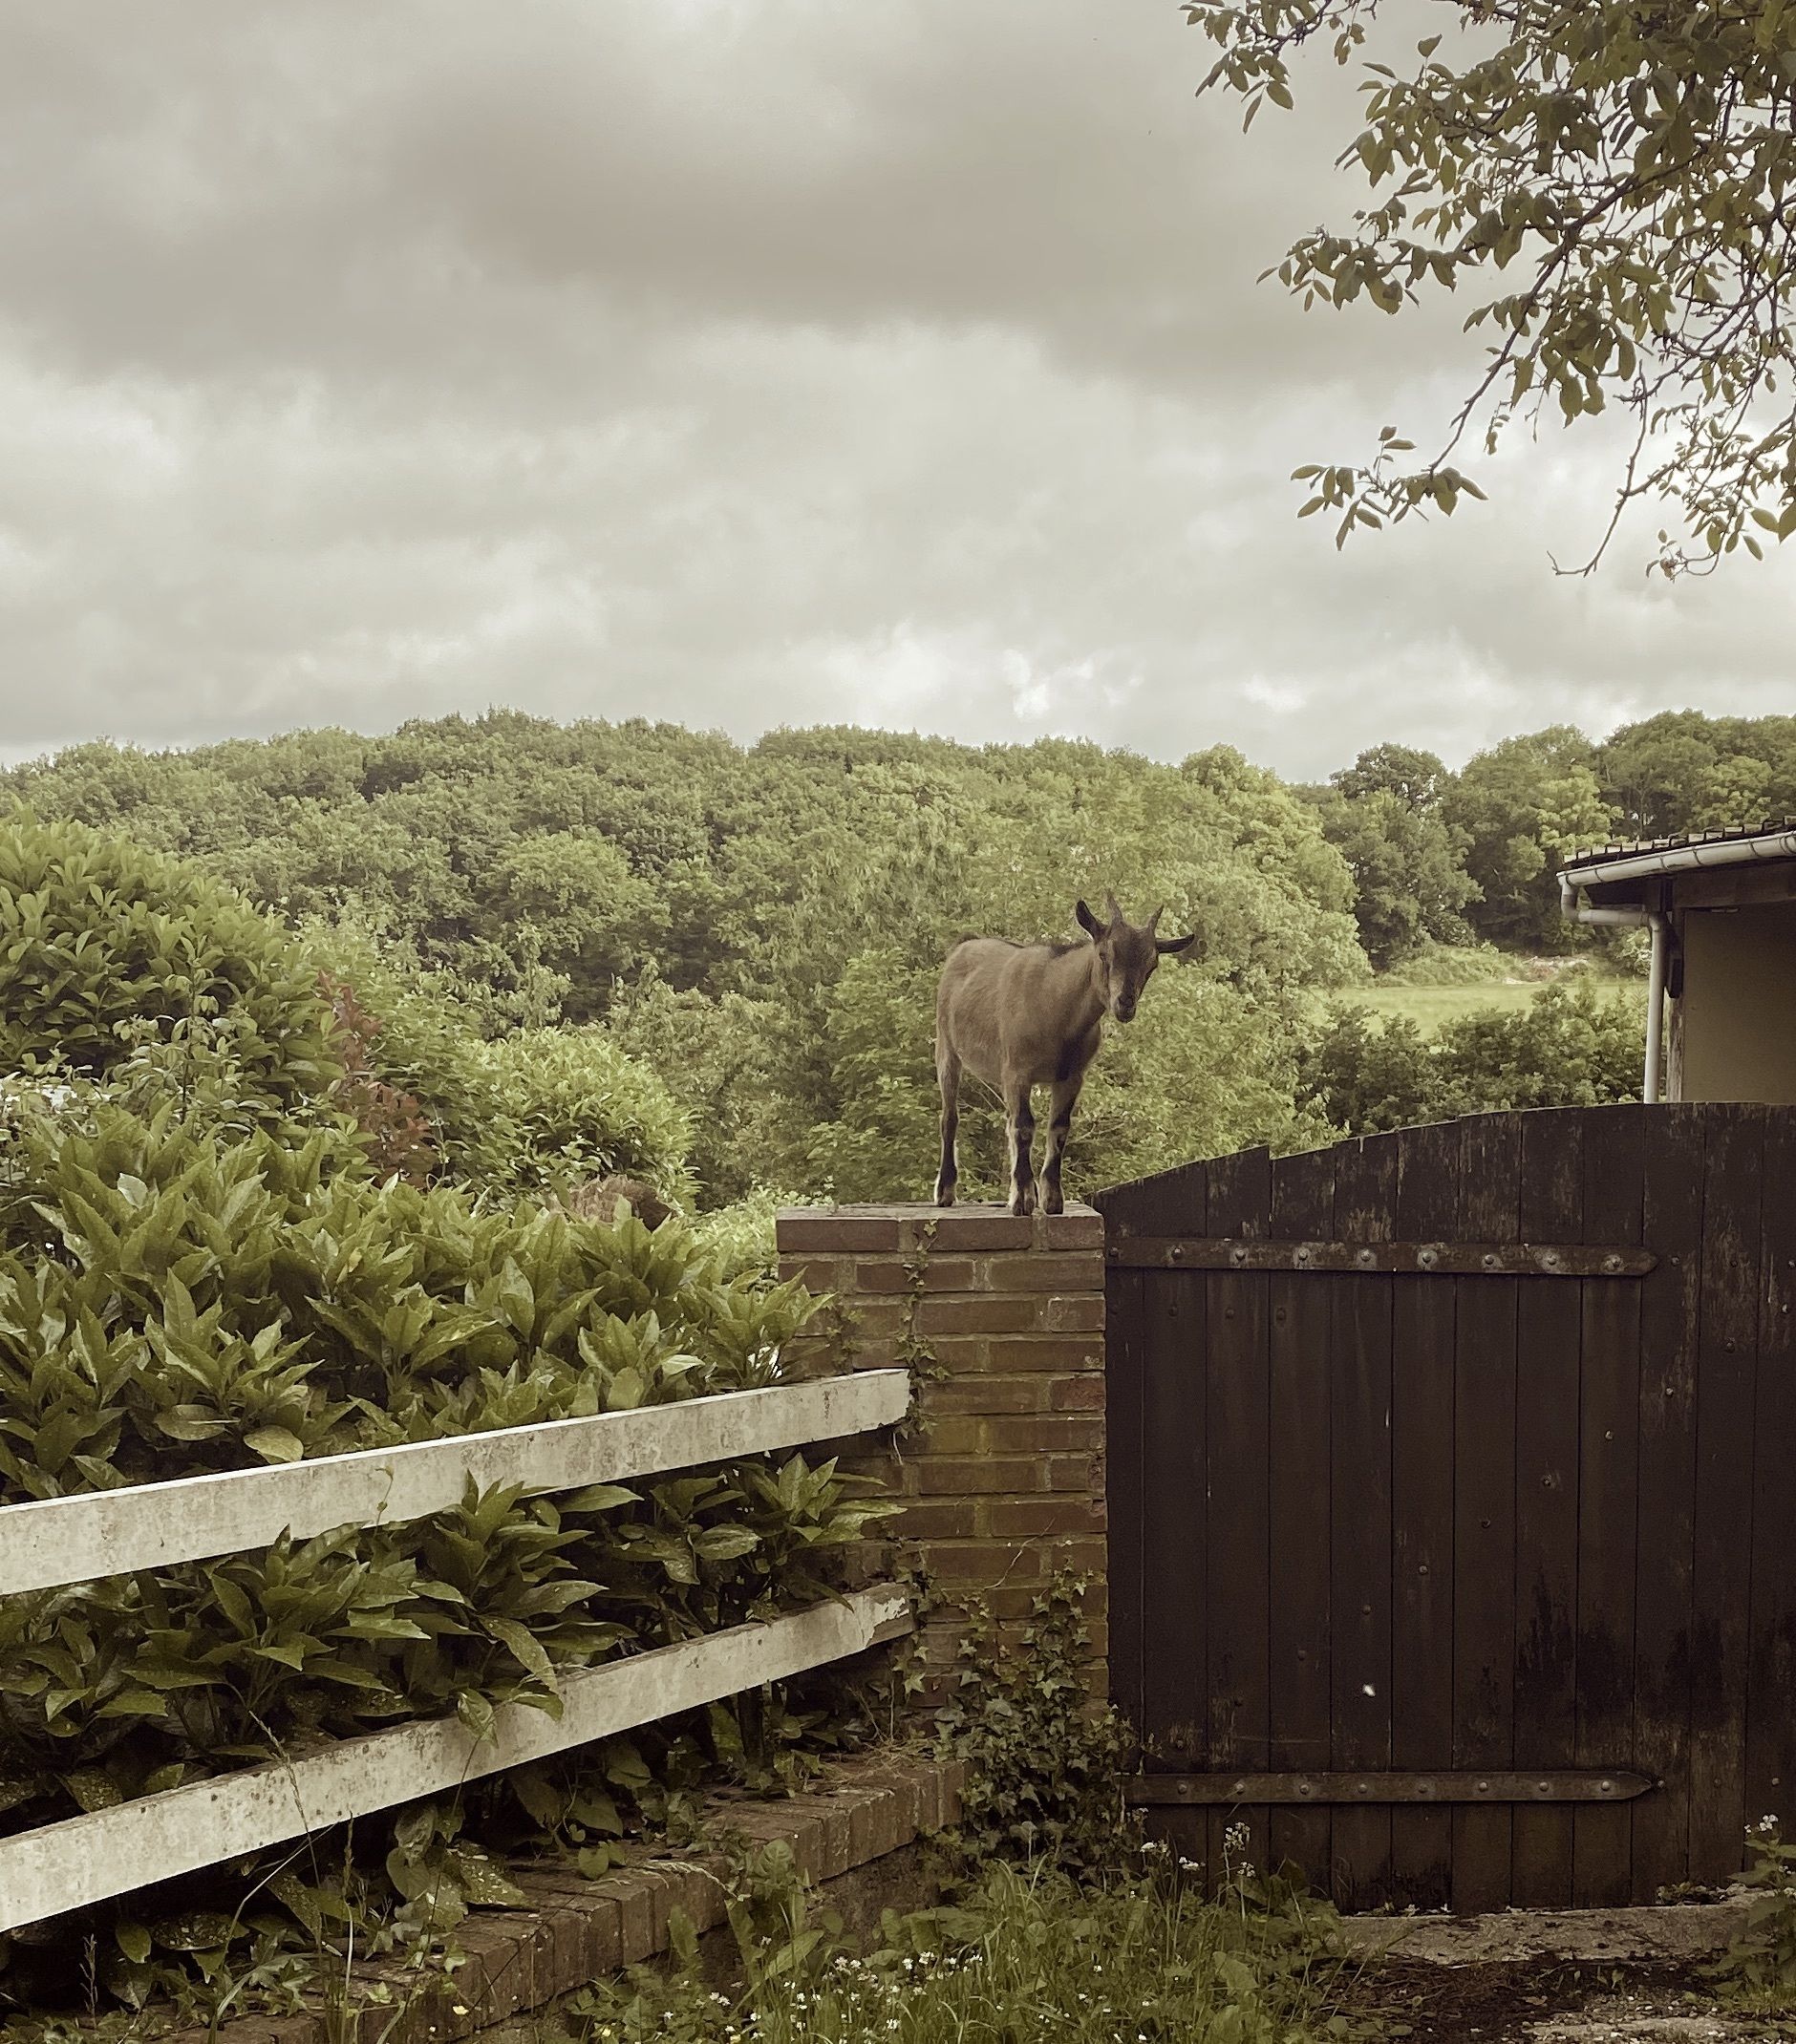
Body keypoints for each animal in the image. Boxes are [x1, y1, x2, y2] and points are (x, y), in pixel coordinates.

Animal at [933, 894, 1197, 1216]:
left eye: (1152, 964)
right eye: (1104, 954)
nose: (1125, 1003)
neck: (1057, 1009)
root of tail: (965, 945)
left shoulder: (1071, 1077)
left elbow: (1058, 1128)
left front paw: (1051, 1199)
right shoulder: (1018, 1070)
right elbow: (1024, 1127)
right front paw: (1024, 1199)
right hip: (947, 1047)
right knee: (951, 1117)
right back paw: (945, 1191)